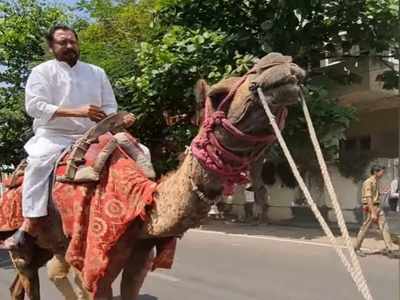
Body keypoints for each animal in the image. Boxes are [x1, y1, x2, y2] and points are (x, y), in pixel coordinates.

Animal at [1, 52, 304, 300]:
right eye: (218, 95)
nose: (279, 64)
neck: (140, 201)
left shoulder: (140, 258)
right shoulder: (92, 263)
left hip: (48, 245)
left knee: (27, 280)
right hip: (26, 239)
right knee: (26, 266)